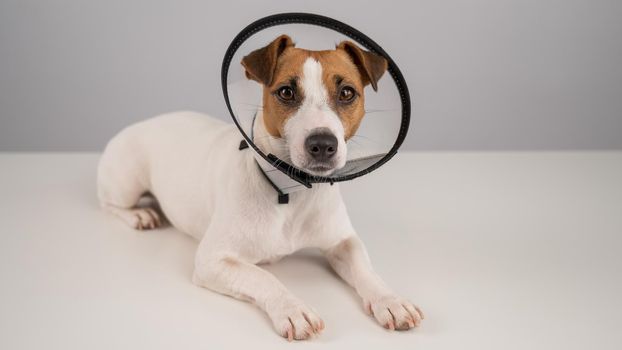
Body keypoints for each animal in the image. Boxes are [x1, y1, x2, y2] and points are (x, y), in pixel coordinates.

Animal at [97, 34, 426, 340]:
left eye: (347, 93)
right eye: (286, 92)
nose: (322, 144)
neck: (290, 193)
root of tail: (149, 120)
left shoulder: (343, 241)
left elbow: (366, 270)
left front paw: (390, 300)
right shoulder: (213, 260)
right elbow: (262, 276)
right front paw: (293, 309)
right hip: (126, 181)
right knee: (108, 202)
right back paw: (139, 215)